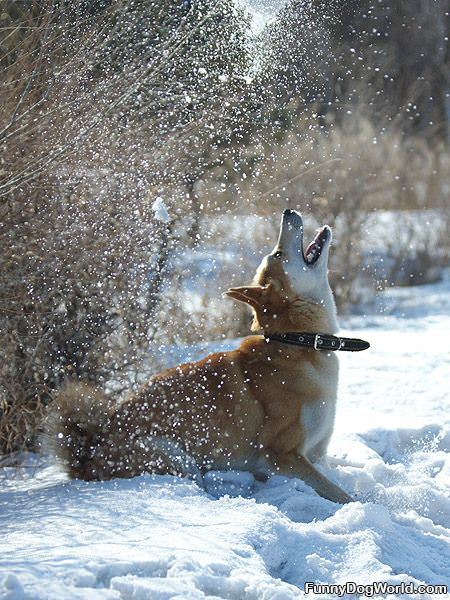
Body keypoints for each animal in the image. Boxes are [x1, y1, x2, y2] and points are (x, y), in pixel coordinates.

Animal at [44, 209, 356, 504]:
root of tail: (88, 459)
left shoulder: (317, 454)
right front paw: (359, 505)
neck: (296, 343)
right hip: (177, 459)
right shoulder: (282, 455)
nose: (288, 212)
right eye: (278, 253)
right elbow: (338, 493)